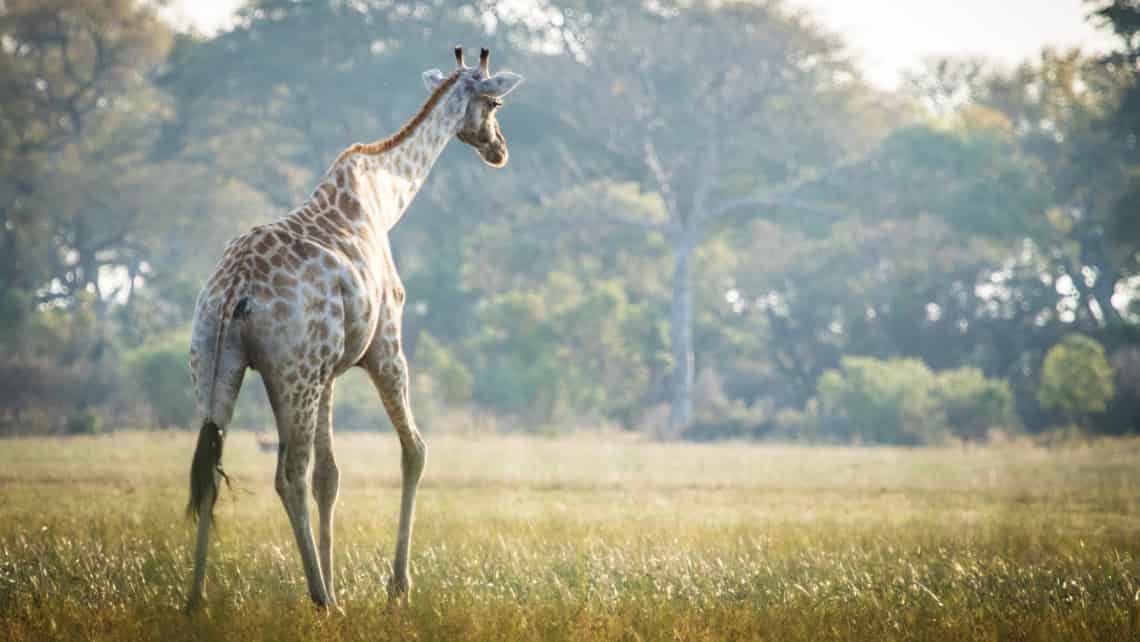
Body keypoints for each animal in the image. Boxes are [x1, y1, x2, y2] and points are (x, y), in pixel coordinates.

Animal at [184, 46, 522, 611]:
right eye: (495, 102)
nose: (499, 150)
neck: (385, 201)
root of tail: (234, 292)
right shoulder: (384, 346)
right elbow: (415, 451)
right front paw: (397, 587)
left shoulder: (330, 372)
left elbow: (331, 475)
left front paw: (341, 576)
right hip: (291, 374)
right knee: (287, 476)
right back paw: (322, 601)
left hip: (217, 364)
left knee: (210, 469)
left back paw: (196, 601)